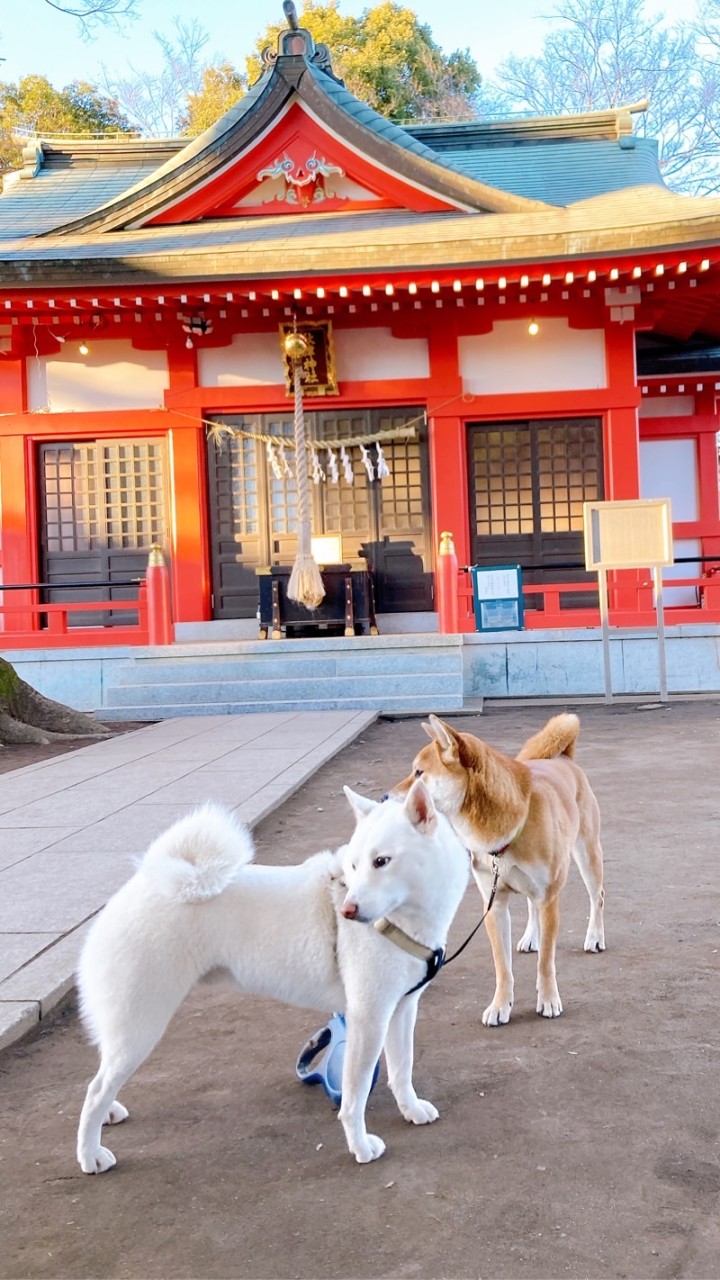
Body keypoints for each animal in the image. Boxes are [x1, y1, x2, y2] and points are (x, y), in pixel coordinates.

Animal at [75, 778, 468, 1172]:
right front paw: (360, 1146)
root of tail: (134, 889)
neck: (404, 919)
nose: (347, 910)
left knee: (100, 1078)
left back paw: (108, 1114)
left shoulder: (401, 1010)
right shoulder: (368, 1019)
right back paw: (91, 1154)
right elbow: (354, 1100)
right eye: (355, 865)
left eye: (381, 861)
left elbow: (402, 1068)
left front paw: (411, 1110)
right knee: (95, 1089)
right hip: (140, 1028)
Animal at [394, 716, 602, 1024]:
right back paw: (531, 937)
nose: (384, 797)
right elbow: (503, 967)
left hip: (587, 855)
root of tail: (564, 758)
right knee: (530, 906)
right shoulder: (494, 904)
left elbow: (546, 963)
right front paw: (500, 1005)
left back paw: (595, 937)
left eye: (419, 773)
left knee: (596, 898)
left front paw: (548, 999)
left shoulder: (549, 899)